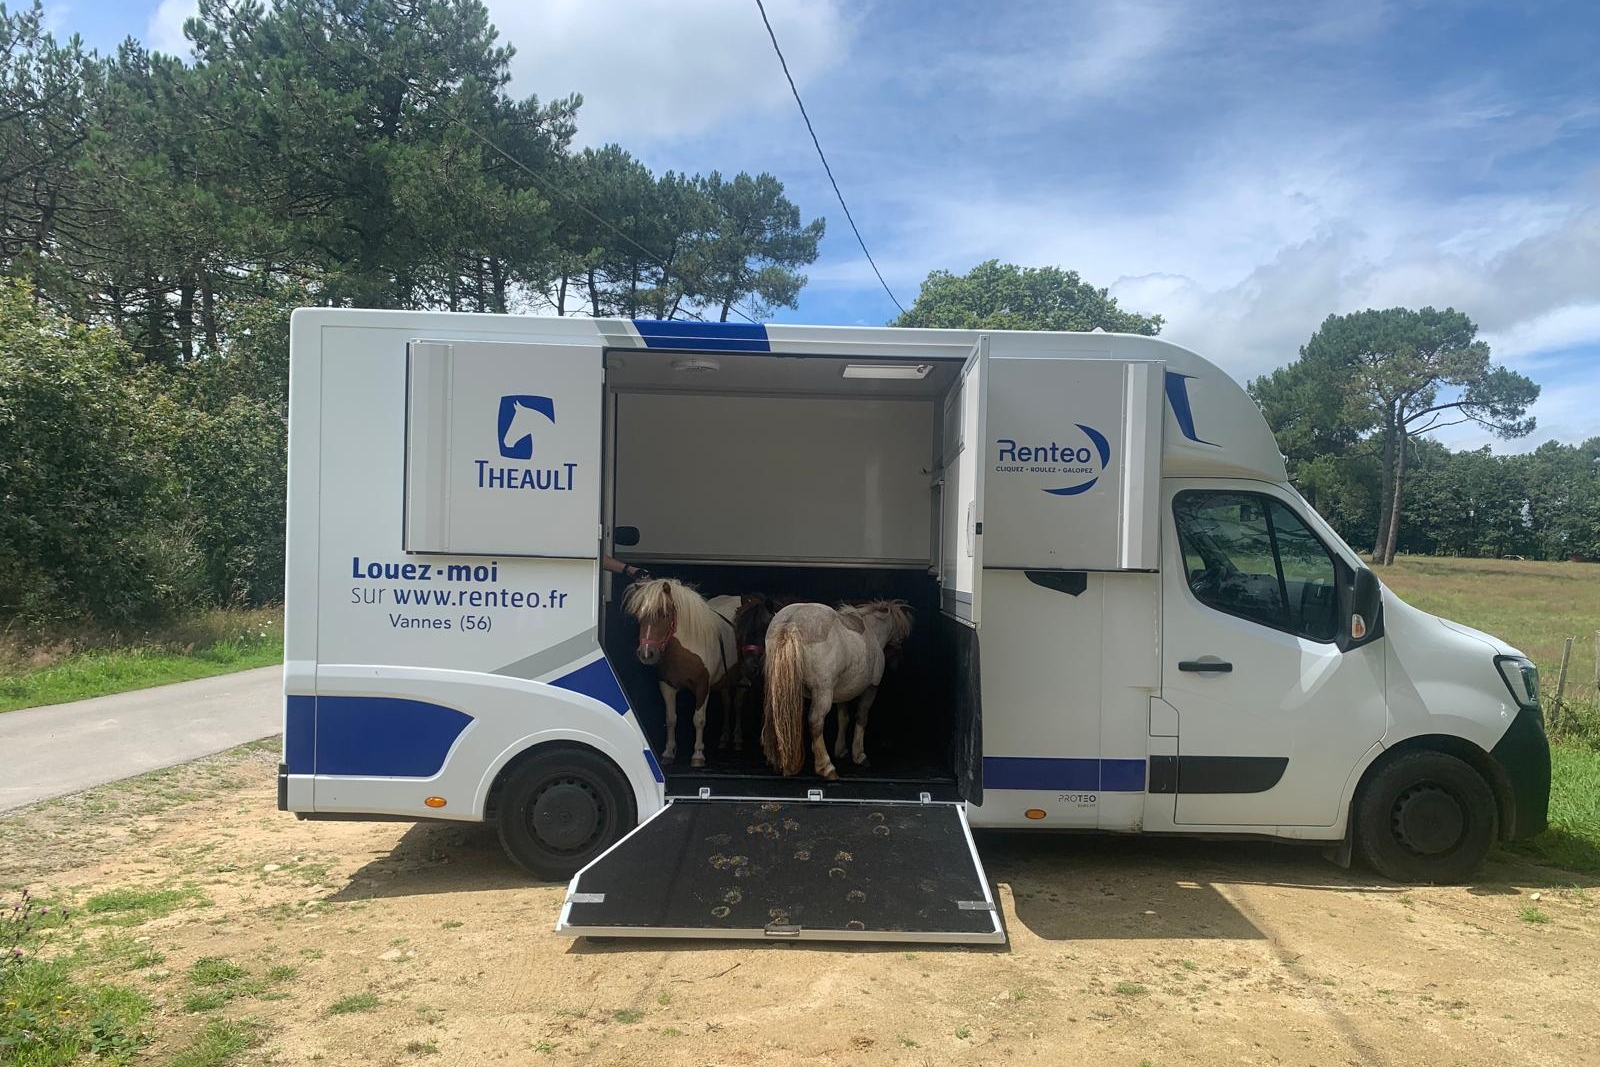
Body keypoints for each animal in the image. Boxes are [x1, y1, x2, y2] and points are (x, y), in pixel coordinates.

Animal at [622, 578, 737, 767]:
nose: (646, 654)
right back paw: (724, 738)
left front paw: (698, 755)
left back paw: (736, 739)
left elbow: (699, 719)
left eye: (664, 614)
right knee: (727, 703)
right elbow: (670, 719)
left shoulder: (702, 686)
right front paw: (668, 752)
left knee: (736, 704)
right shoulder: (667, 686)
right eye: (639, 616)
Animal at [761, 600, 913, 780]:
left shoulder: (841, 693)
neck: (872, 631)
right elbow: (861, 718)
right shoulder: (871, 689)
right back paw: (826, 768)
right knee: (816, 721)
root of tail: (790, 622)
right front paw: (859, 755)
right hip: (823, 692)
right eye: (901, 636)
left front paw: (840, 750)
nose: (897, 663)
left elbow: (843, 718)